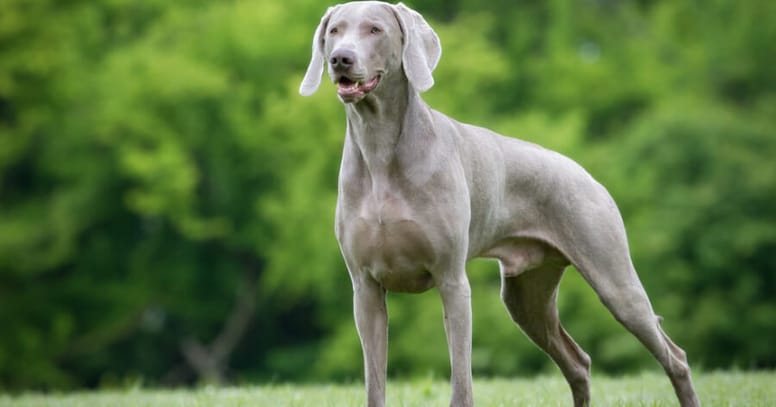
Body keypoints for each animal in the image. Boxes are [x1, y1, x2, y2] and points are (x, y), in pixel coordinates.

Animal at [300, 1, 700, 406]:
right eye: (334, 31)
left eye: (375, 29)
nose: (340, 58)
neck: (379, 149)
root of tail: (585, 173)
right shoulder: (365, 288)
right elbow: (375, 382)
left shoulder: (452, 281)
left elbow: (461, 380)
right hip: (526, 295)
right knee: (578, 362)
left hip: (613, 278)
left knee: (674, 356)